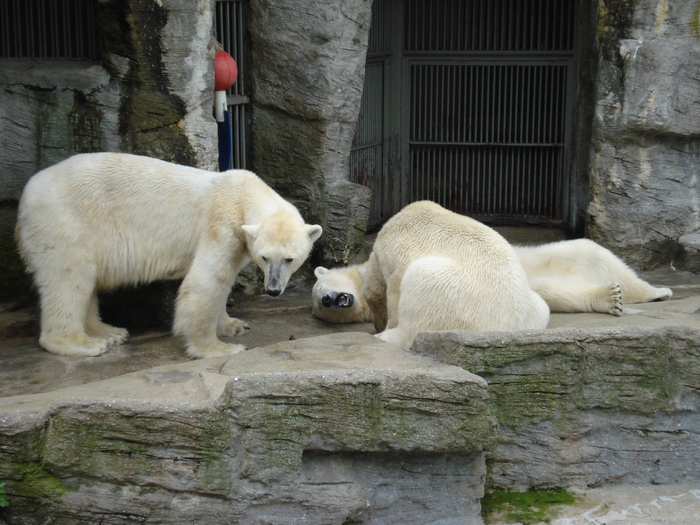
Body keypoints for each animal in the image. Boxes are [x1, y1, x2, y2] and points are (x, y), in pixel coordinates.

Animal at [16, 149, 322, 358]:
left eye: (290, 259)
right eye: (265, 257)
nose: (272, 290)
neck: (242, 193)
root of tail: (26, 196)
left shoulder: (239, 237)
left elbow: (224, 281)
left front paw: (233, 325)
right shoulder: (221, 224)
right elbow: (207, 281)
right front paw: (220, 347)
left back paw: (110, 332)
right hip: (65, 221)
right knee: (70, 278)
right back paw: (82, 342)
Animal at [314, 201, 552, 348]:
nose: (376, 325)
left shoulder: (396, 249)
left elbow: (396, 289)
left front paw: (388, 324)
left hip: (449, 294)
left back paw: (386, 337)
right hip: (533, 308)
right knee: (542, 306)